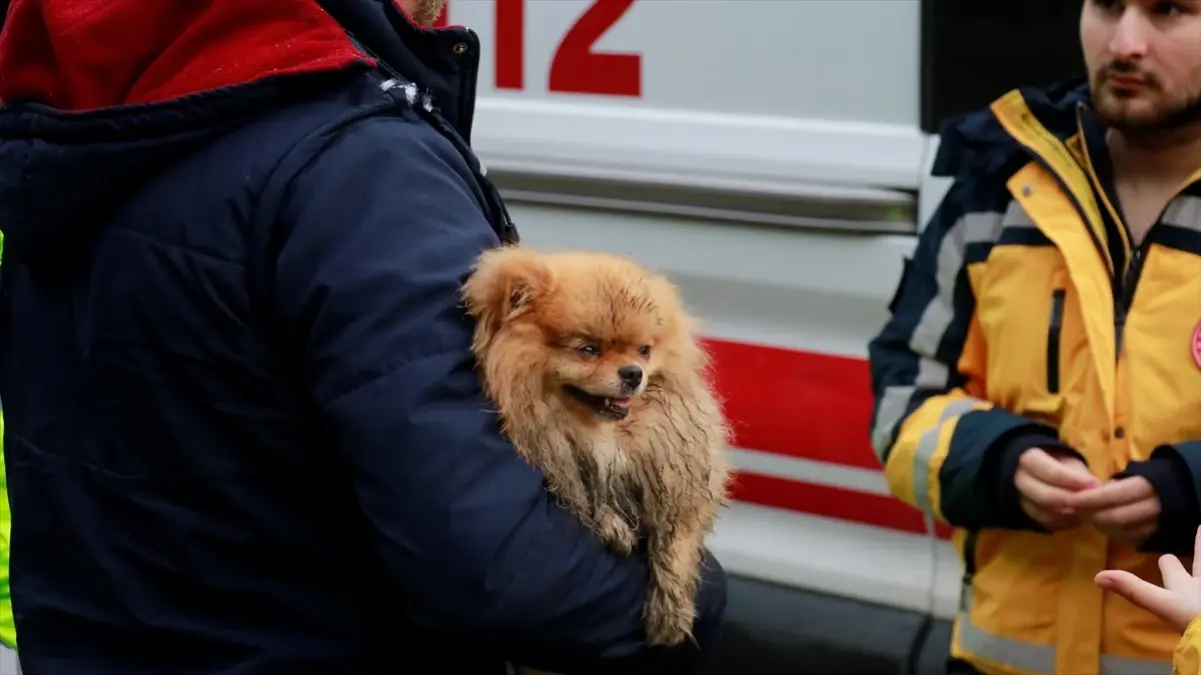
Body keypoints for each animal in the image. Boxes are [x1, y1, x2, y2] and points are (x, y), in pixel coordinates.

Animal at [461, 242, 730, 662]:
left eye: (644, 351)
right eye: (589, 350)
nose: (633, 372)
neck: (603, 436)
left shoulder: (681, 481)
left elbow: (677, 540)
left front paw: (671, 609)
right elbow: (585, 501)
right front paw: (611, 524)